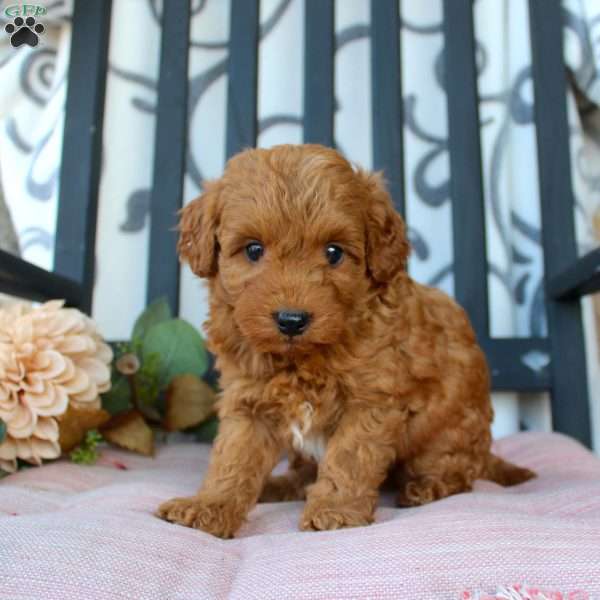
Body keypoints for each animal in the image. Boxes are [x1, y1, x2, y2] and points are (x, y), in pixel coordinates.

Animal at [156, 143, 536, 536]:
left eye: (334, 252)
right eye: (253, 250)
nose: (291, 320)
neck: (302, 360)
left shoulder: (372, 401)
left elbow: (350, 457)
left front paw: (335, 510)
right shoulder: (249, 403)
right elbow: (232, 459)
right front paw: (209, 506)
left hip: (449, 433)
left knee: (458, 472)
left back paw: (427, 487)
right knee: (303, 474)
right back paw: (278, 486)